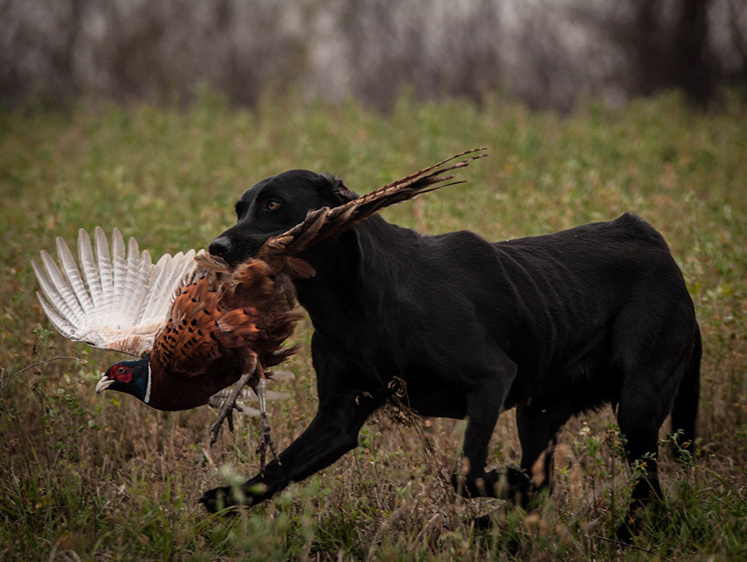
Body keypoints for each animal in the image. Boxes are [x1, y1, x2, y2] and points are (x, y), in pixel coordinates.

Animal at [200, 167, 700, 532]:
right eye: (240, 208)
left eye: (273, 204)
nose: (216, 247)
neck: (352, 303)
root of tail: (653, 242)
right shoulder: (338, 419)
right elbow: (276, 470)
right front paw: (223, 496)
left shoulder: (491, 379)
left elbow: (467, 472)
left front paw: (504, 482)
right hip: (538, 413)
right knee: (547, 486)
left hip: (637, 405)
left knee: (647, 487)